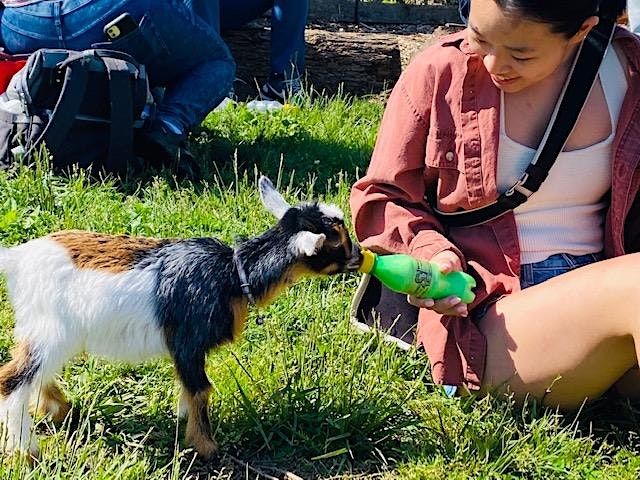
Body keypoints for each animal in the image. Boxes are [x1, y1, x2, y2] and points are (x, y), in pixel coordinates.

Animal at [0, 176, 362, 460]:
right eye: (336, 242)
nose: (360, 256)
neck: (232, 273)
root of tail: (16, 259)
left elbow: (190, 390)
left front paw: (184, 420)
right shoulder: (189, 342)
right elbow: (201, 389)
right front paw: (206, 447)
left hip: (50, 332)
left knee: (37, 372)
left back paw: (60, 410)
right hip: (50, 329)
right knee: (13, 380)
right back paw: (27, 451)